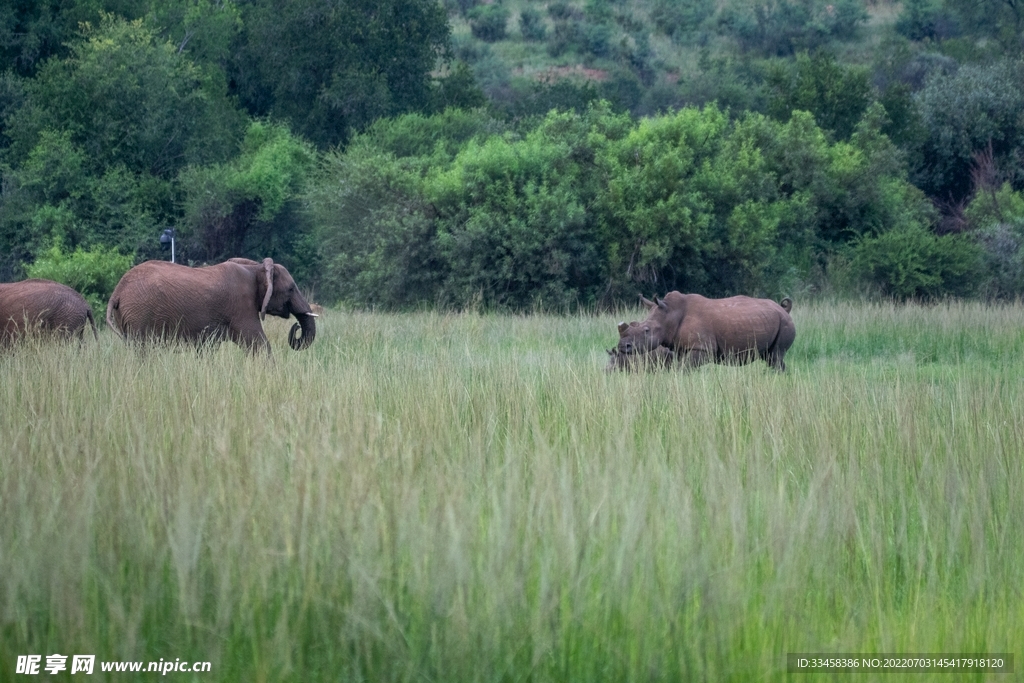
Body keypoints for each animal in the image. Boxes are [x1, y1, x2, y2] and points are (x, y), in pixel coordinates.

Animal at [105, 255, 315, 352]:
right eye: (291, 289)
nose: (296, 326)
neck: (256, 269)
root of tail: (117, 292)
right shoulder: (242, 307)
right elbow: (259, 344)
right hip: (139, 313)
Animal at [610, 290, 794, 370]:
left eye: (646, 330)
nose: (623, 346)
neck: (670, 314)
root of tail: (783, 310)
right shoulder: (681, 348)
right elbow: (681, 367)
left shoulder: (702, 348)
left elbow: (684, 368)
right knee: (771, 357)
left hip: (784, 323)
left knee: (776, 356)